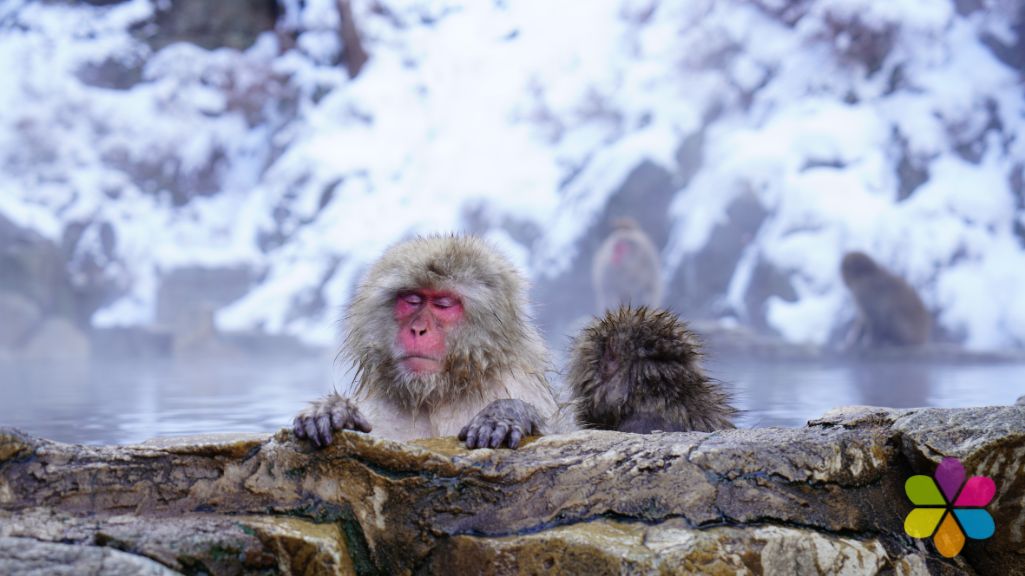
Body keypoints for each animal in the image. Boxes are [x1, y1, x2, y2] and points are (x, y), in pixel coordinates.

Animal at [293, 235, 558, 450]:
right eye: (412, 299)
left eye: (443, 304)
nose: (418, 329)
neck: (437, 395)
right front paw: (333, 410)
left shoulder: (519, 385)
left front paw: (505, 414)